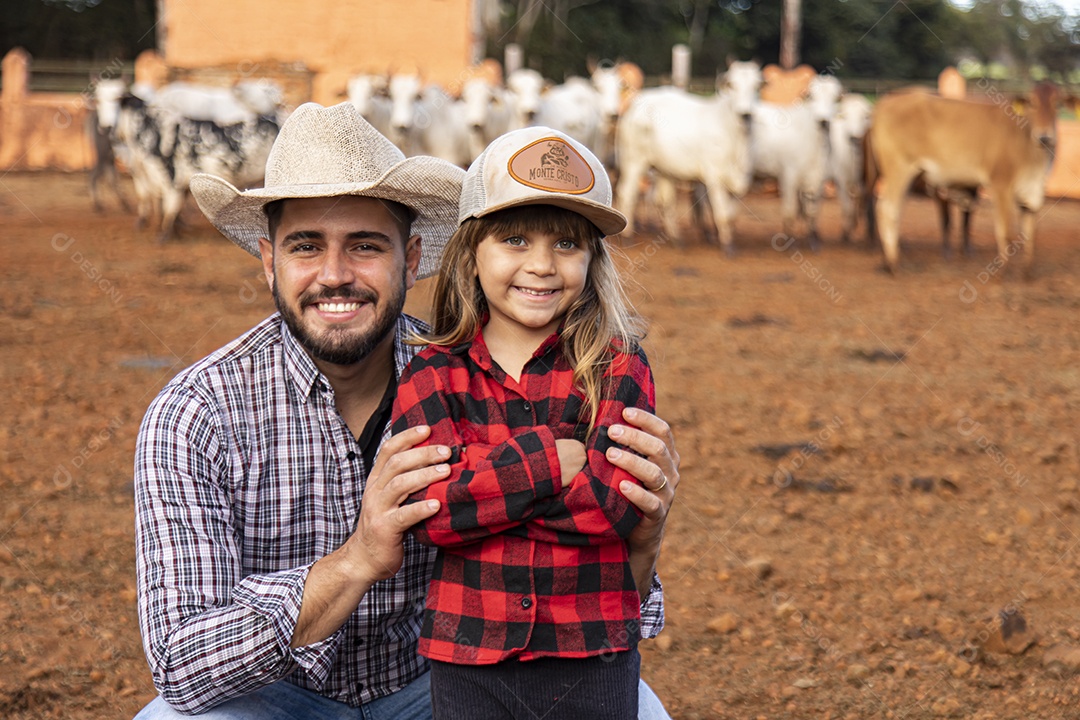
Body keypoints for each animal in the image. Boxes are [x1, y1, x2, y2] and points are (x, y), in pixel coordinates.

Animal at [617, 86, 751, 252]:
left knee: (664, 201)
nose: (746, 114)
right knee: (627, 194)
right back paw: (627, 237)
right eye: (733, 86)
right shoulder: (714, 176)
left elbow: (731, 214)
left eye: (757, 85)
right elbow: (721, 212)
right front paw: (726, 246)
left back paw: (676, 239)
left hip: (663, 170)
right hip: (634, 161)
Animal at [868, 83, 1054, 278]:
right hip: (898, 170)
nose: (1045, 136)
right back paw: (893, 264)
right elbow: (1004, 230)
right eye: (1032, 102)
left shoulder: (1030, 192)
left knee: (895, 209)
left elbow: (1029, 233)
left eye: (1056, 102)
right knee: (887, 209)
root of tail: (882, 106)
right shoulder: (1001, 186)